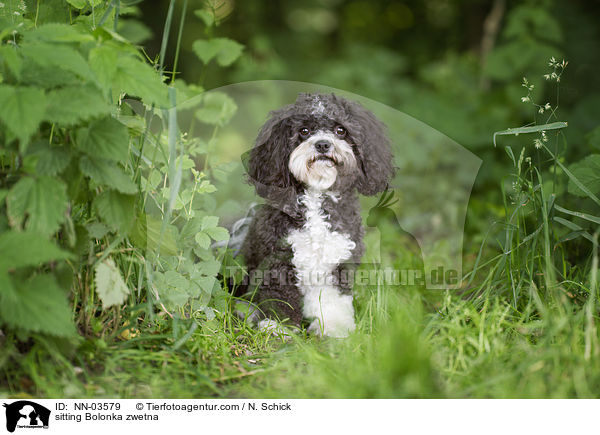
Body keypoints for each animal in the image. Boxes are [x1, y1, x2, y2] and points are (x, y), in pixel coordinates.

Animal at [237, 92, 396, 338]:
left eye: (341, 130)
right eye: (304, 130)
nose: (322, 144)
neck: (317, 196)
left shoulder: (337, 262)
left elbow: (331, 300)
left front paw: (333, 327)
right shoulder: (278, 259)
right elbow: (280, 296)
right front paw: (278, 326)